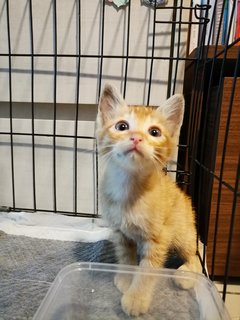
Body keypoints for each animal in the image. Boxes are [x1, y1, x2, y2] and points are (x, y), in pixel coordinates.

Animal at [95, 84, 201, 316]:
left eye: (155, 132)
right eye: (122, 126)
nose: (136, 138)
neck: (130, 189)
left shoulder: (159, 237)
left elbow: (148, 269)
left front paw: (136, 298)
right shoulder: (119, 231)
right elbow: (126, 255)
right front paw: (126, 278)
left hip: (182, 231)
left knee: (194, 254)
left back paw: (187, 274)